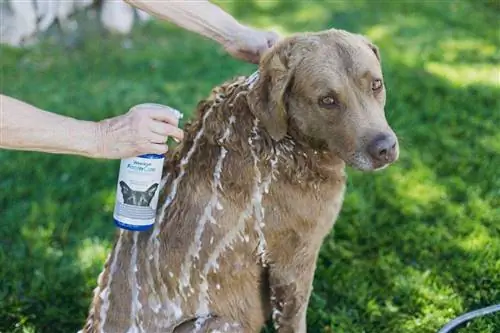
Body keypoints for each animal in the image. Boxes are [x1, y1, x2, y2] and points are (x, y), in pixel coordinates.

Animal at [79, 27, 398, 332]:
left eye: (376, 84)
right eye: (327, 101)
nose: (385, 148)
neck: (286, 140)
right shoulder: (293, 258)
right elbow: (294, 321)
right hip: (223, 323)